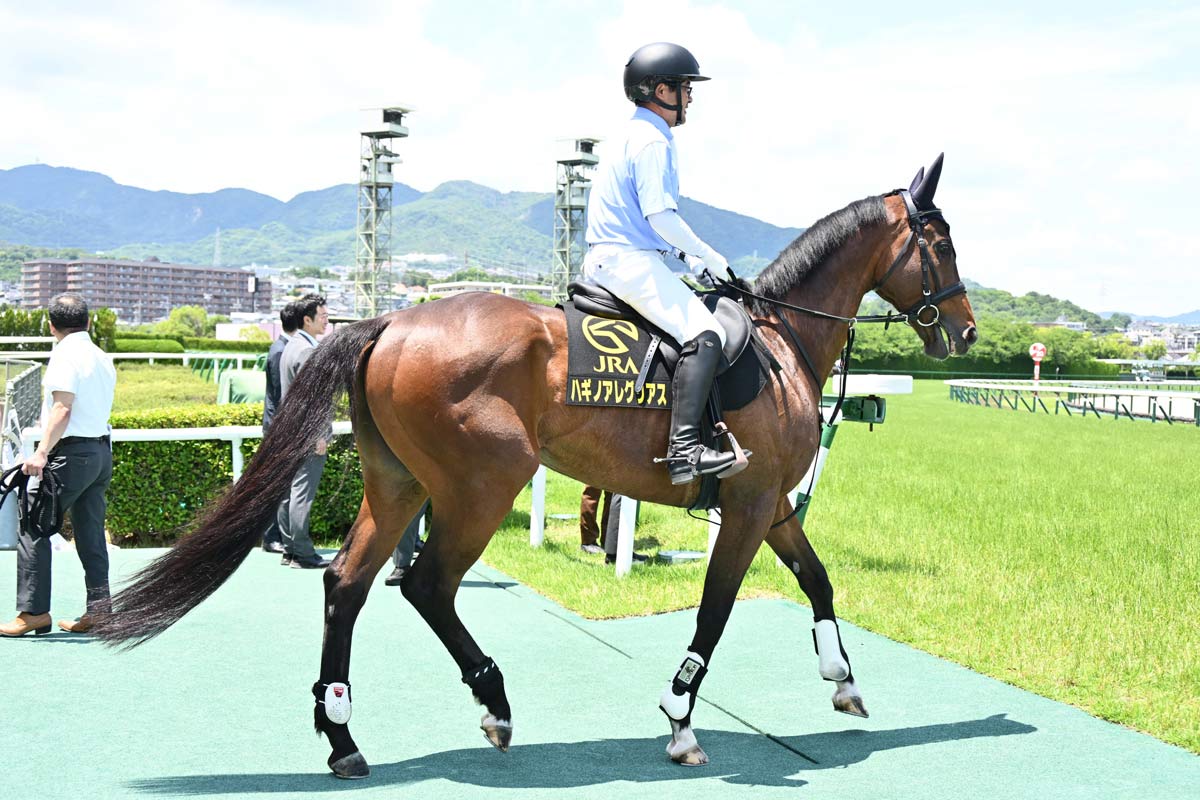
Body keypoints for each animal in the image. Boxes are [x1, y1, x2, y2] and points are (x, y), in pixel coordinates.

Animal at [91, 155, 975, 777]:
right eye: (941, 241)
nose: (965, 330)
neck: (778, 341)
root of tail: (388, 322)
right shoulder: (750, 505)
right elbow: (717, 612)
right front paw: (680, 717)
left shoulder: (771, 503)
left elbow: (818, 578)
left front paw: (842, 675)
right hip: (483, 485)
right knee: (425, 585)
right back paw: (494, 701)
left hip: (398, 485)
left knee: (346, 583)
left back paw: (343, 737)